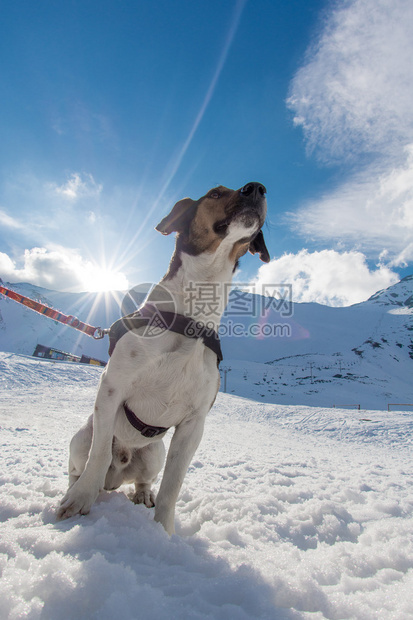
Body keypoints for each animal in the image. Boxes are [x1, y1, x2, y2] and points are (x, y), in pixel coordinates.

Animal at [58, 183, 270, 532]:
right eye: (215, 193)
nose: (258, 188)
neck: (190, 318)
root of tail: (117, 476)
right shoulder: (111, 389)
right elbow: (99, 455)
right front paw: (80, 499)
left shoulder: (194, 423)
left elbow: (174, 484)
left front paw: (163, 533)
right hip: (81, 437)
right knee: (81, 465)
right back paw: (76, 488)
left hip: (153, 453)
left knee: (145, 480)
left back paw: (143, 495)